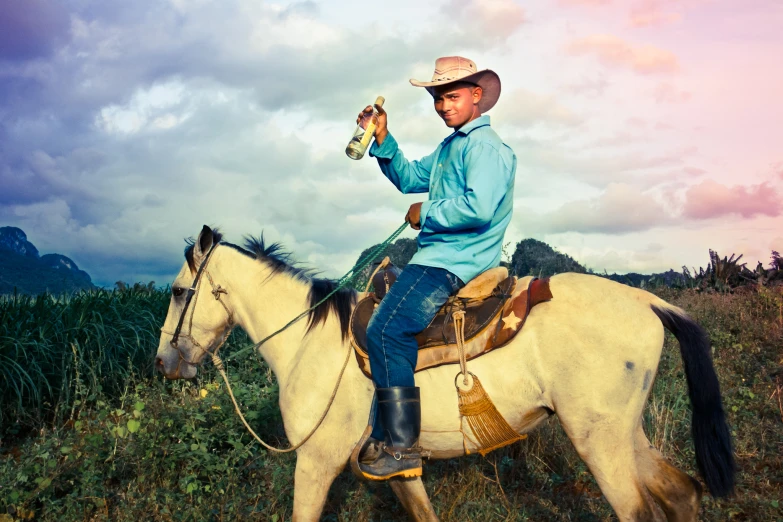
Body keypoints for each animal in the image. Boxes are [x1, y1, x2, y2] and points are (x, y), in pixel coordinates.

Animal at [158, 225, 736, 516]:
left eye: (179, 292)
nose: (164, 363)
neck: (307, 344)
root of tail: (647, 301)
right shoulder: (396, 467)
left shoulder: (316, 461)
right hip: (623, 432)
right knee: (681, 492)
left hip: (601, 441)